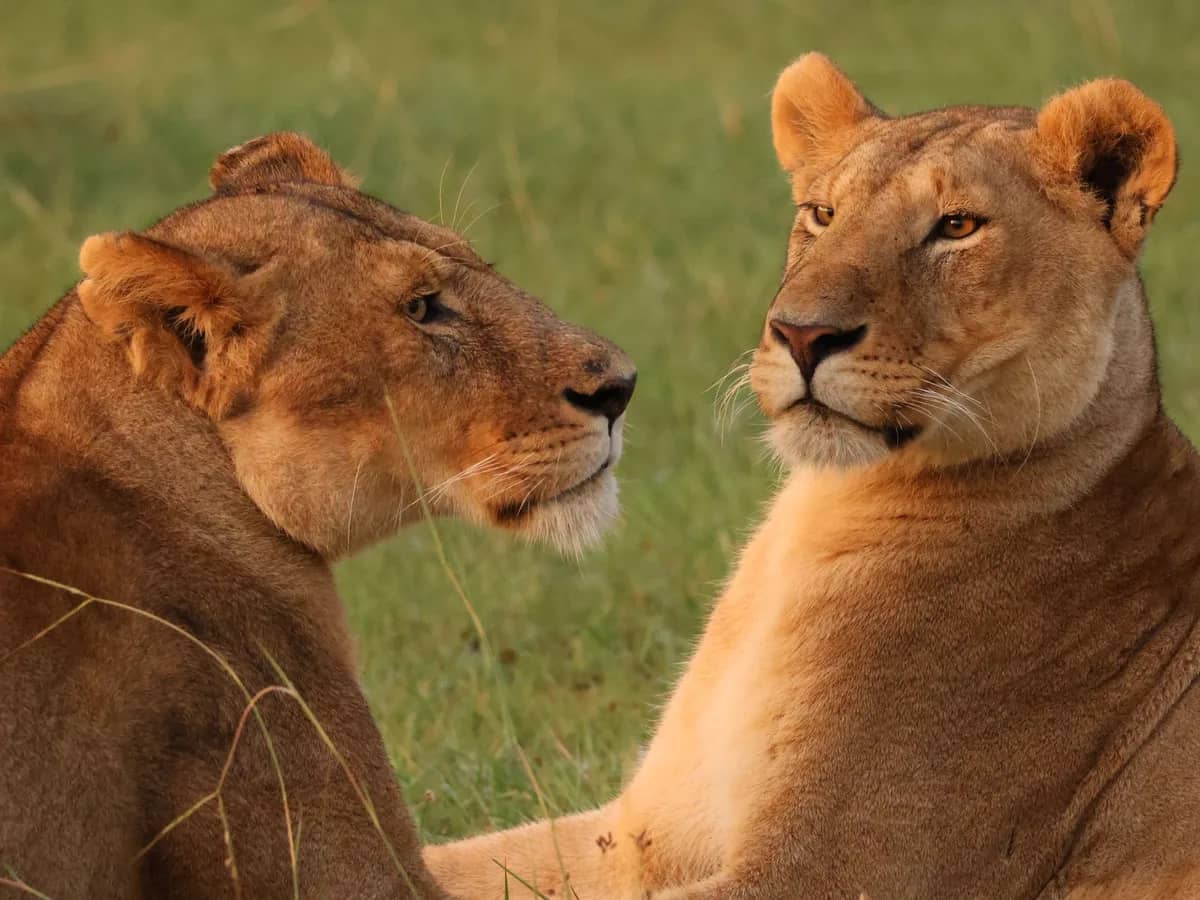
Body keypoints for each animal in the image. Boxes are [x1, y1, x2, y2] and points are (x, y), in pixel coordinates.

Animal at [425, 54, 1200, 899]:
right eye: (822, 214)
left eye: (957, 226)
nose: (801, 334)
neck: (820, 511)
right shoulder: (641, 834)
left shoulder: (831, 872)